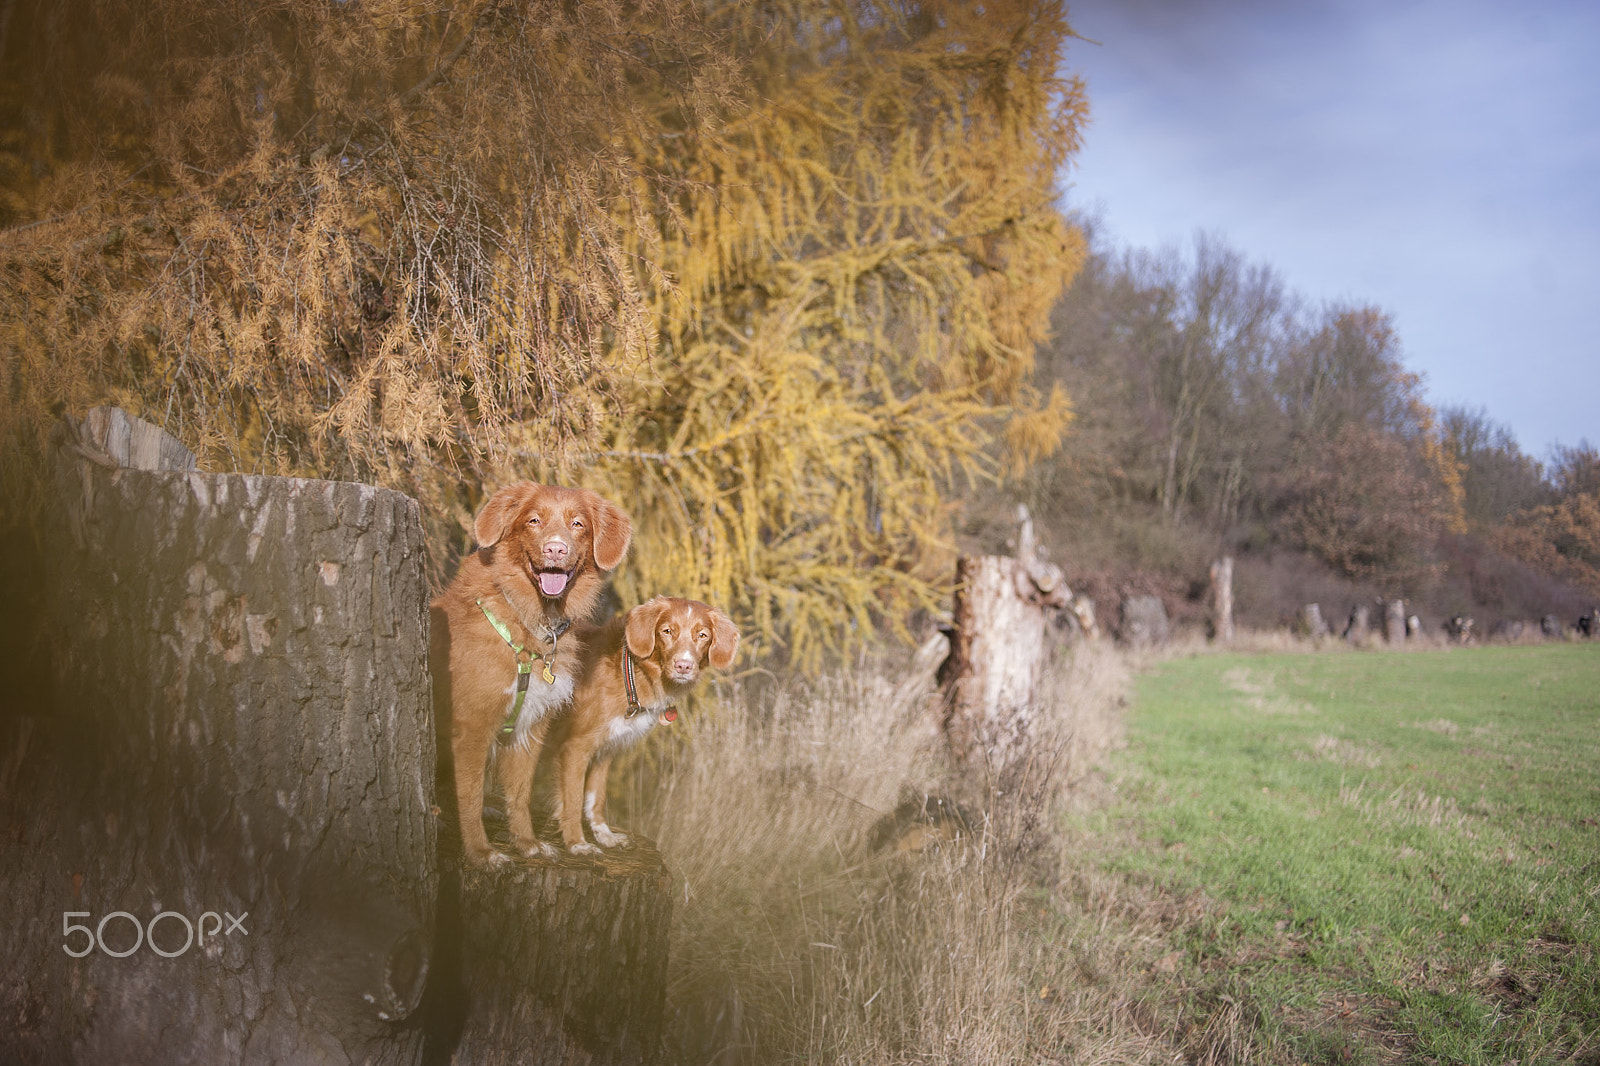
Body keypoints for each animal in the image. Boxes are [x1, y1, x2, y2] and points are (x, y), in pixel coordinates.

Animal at [432, 480, 630, 864]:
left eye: (577, 524)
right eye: (534, 520)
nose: (555, 549)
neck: (530, 621)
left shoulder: (531, 725)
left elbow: (521, 794)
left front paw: (527, 844)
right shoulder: (472, 726)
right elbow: (470, 795)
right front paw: (481, 852)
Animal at [553, 592, 739, 851]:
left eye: (702, 635)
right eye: (667, 631)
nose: (683, 666)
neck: (629, 675)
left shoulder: (605, 749)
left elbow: (596, 797)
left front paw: (604, 835)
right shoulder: (575, 747)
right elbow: (572, 798)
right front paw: (576, 844)